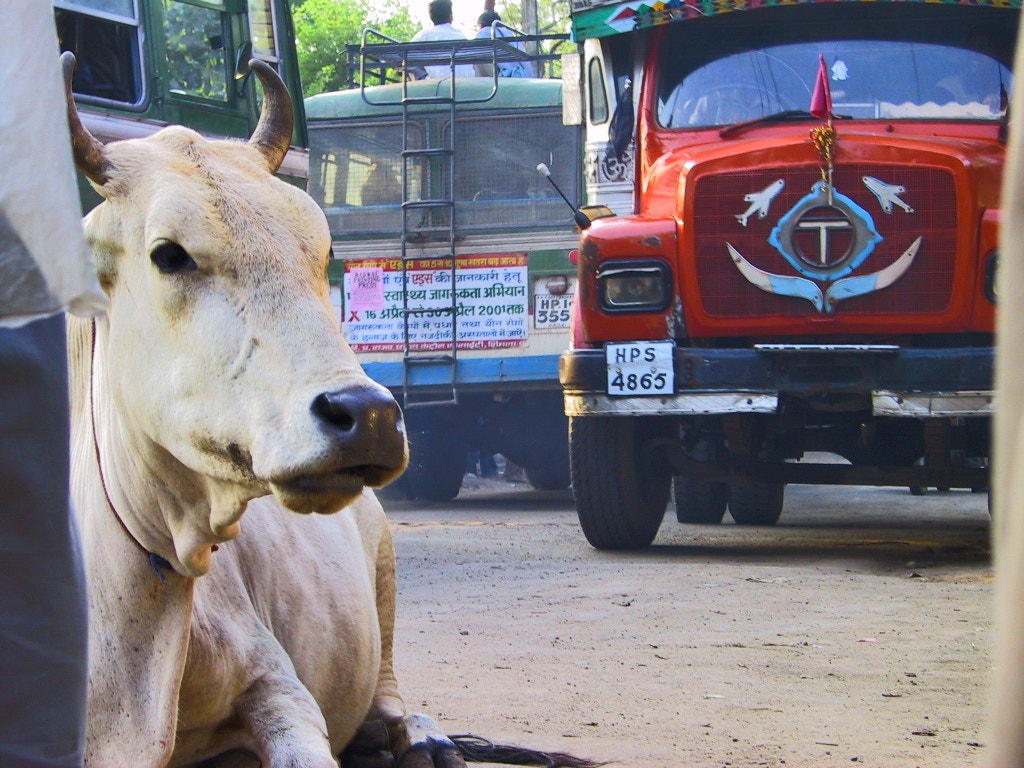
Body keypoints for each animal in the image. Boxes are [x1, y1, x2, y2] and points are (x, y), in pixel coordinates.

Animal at [62, 52, 465, 768]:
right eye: (168, 254)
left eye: (323, 251)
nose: (369, 416)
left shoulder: (279, 688)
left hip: (385, 577)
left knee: (388, 697)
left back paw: (422, 736)